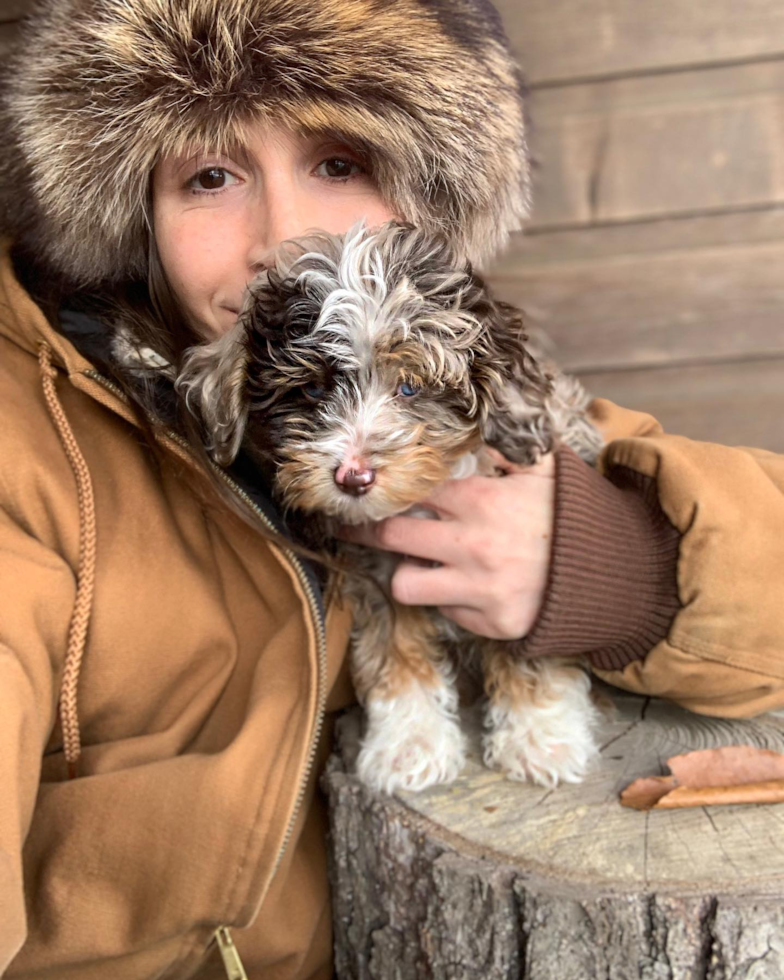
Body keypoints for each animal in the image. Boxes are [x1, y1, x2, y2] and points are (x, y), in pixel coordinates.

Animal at [176, 218, 608, 792]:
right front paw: (409, 745)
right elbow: (395, 655)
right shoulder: (378, 578)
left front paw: (541, 736)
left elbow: (528, 647)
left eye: (410, 387)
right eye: (312, 391)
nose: (353, 477)